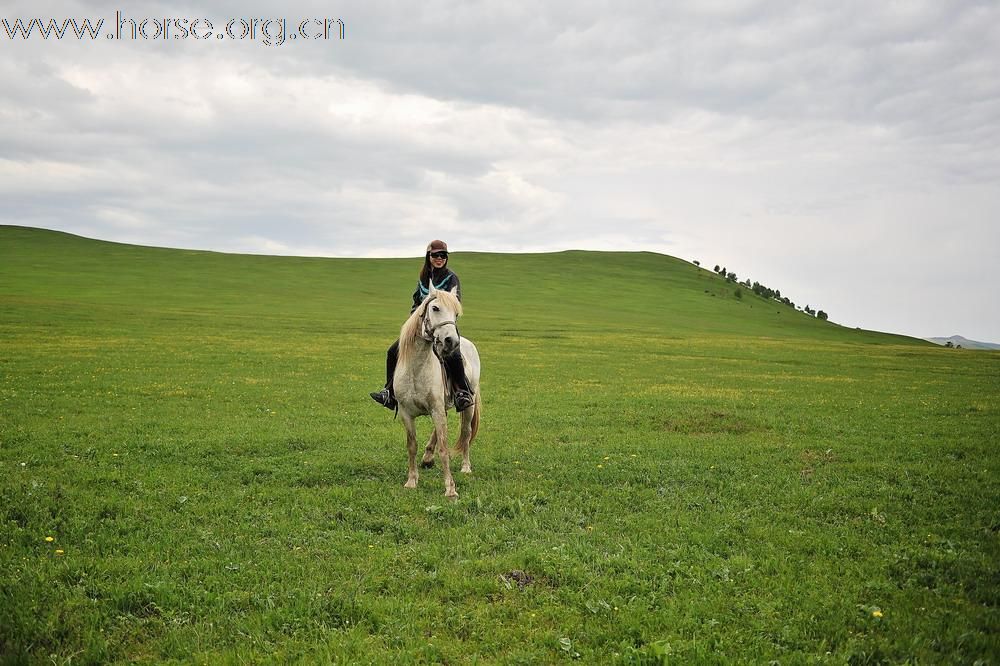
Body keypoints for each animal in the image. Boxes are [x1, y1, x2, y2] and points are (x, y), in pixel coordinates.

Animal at [392, 278, 482, 496]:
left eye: (456, 313)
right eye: (435, 308)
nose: (451, 341)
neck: (416, 369)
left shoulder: (437, 410)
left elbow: (444, 447)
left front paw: (450, 488)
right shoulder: (407, 413)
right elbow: (411, 445)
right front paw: (411, 481)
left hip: (468, 405)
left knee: (466, 433)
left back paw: (465, 467)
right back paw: (427, 458)